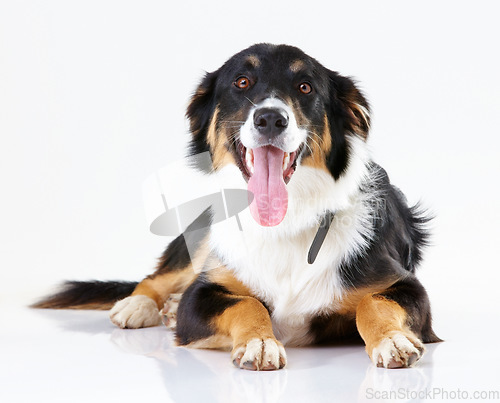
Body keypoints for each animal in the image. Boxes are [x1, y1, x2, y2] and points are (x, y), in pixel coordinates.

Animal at [36, 42, 442, 370]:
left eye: (305, 86)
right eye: (241, 82)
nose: (270, 118)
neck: (286, 222)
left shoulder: (407, 286)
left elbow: (373, 302)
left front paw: (391, 339)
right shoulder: (199, 297)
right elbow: (247, 304)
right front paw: (259, 342)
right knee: (155, 278)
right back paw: (138, 305)